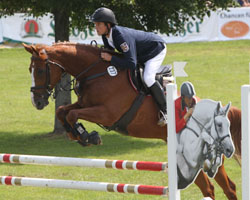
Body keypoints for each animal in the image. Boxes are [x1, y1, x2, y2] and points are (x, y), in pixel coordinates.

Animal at [22, 42, 241, 200]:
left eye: (39, 71)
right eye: (29, 70)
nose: (37, 102)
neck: (97, 72)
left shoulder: (107, 113)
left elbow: (72, 114)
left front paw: (87, 136)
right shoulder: (85, 104)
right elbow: (63, 111)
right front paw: (77, 134)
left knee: (227, 187)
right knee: (210, 188)